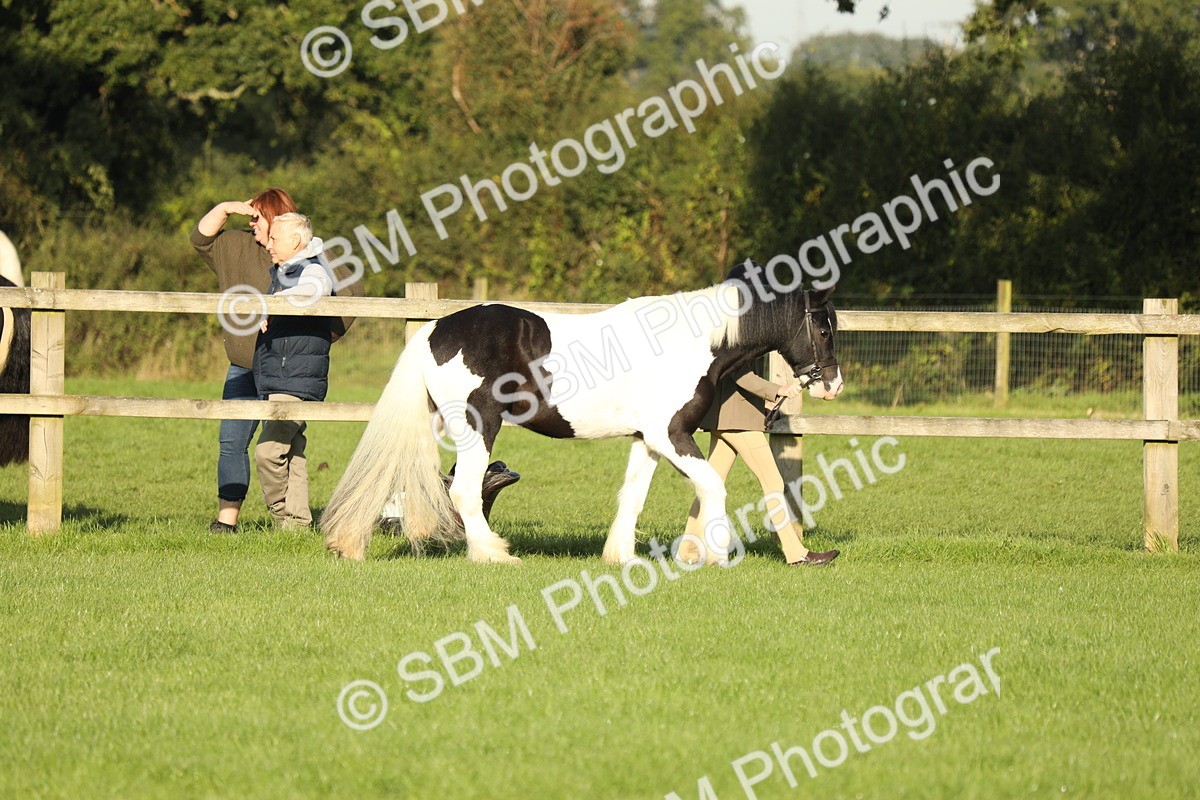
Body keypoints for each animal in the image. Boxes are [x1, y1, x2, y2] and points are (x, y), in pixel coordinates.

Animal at [321, 262, 843, 564]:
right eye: (823, 328)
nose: (833, 385)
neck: (691, 342)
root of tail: (434, 329)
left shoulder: (647, 440)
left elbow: (632, 497)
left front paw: (621, 558)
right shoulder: (671, 434)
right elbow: (712, 484)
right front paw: (714, 556)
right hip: (477, 426)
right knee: (465, 491)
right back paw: (494, 555)